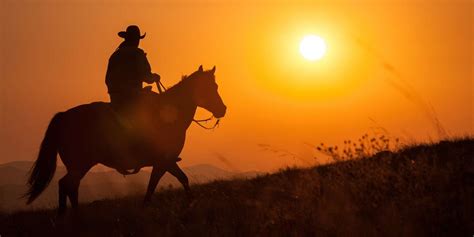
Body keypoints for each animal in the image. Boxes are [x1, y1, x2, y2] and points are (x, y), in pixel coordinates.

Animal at [25, 65, 226, 214]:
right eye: (209, 88)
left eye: (215, 86)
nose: (222, 109)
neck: (169, 115)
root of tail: (63, 117)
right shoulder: (164, 161)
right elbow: (162, 184)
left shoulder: (165, 162)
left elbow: (172, 181)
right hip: (79, 164)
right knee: (67, 185)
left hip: (78, 166)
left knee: (69, 186)